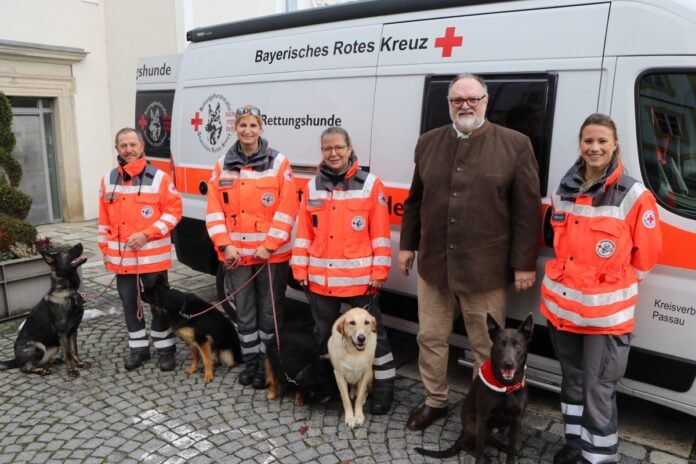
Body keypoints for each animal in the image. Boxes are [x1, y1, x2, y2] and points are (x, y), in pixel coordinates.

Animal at [0, 243, 88, 376]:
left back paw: (53, 360)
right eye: (64, 253)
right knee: (25, 368)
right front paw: (72, 370)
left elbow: (74, 351)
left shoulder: (73, 331)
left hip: (53, 347)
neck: (68, 292)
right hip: (38, 347)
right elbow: (67, 353)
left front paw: (79, 363)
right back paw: (42, 370)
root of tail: (16, 359)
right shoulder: (63, 334)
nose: (80, 244)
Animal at [416, 314, 536, 462]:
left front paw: (510, 454)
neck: (506, 386)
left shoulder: (516, 420)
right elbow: (479, 448)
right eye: (500, 344)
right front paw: (480, 459)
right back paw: (485, 457)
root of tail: (463, 431)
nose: (508, 364)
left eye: (518, 345)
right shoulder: (483, 419)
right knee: (466, 444)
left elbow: (512, 451)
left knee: (491, 441)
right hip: (476, 427)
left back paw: (503, 447)